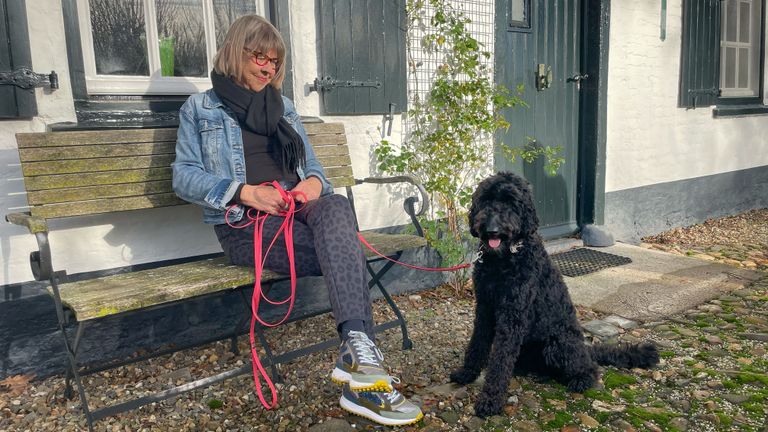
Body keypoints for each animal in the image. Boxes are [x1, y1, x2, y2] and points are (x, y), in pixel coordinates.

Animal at [450, 173, 660, 418]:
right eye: (485, 199)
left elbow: (500, 360)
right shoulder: (484, 308)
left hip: (558, 345)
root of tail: (585, 348)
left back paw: (581, 380)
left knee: (589, 367)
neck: (504, 260)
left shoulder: (513, 315)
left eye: (511, 202)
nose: (492, 229)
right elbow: (477, 345)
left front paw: (490, 400)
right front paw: (466, 373)